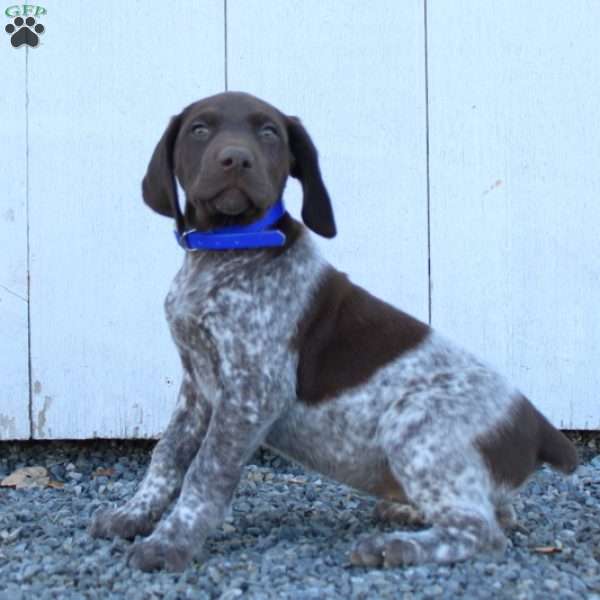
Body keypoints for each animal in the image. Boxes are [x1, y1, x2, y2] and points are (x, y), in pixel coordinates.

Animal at [89, 90, 576, 572]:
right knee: (495, 513)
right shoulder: (197, 384)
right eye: (200, 129)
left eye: (269, 133)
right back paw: (406, 513)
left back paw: (396, 547)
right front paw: (134, 514)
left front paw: (171, 542)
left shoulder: (253, 392)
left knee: (483, 531)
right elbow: (168, 452)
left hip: (418, 424)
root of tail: (539, 425)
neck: (228, 249)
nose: (235, 159)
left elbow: (206, 469)